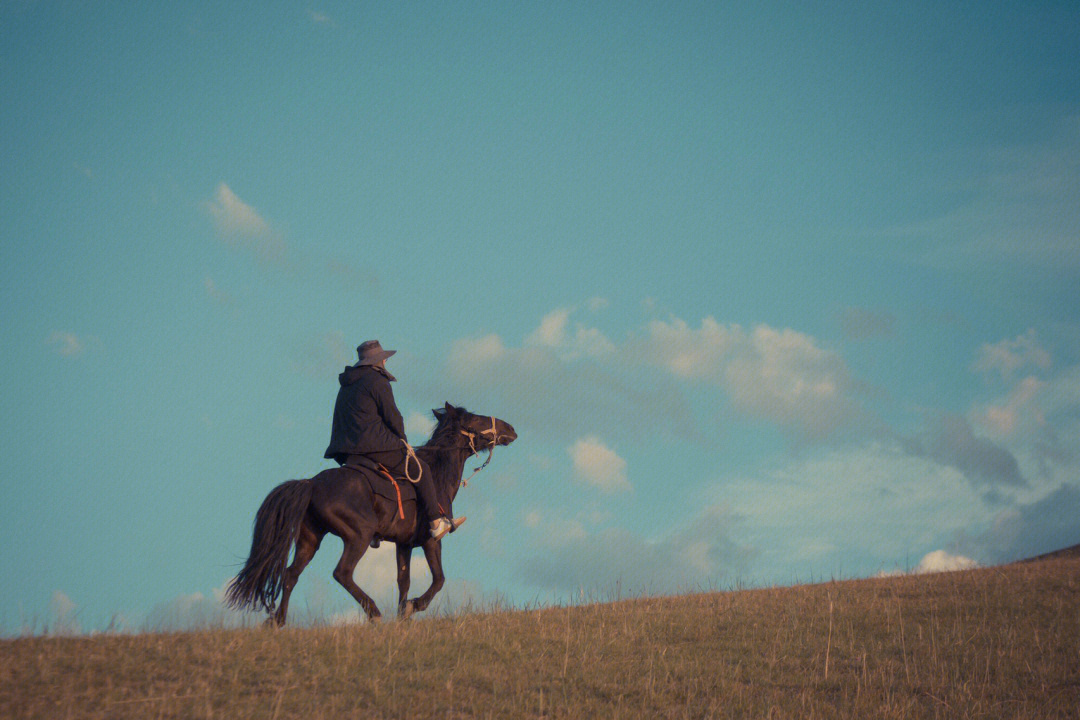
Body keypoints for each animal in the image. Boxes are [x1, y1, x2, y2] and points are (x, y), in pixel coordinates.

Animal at [225, 403, 516, 626]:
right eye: (476, 418)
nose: (510, 429)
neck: (436, 474)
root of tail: (312, 483)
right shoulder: (431, 541)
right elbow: (439, 579)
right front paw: (413, 607)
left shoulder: (404, 544)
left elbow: (403, 581)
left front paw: (402, 616)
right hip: (359, 536)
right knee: (342, 573)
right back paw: (373, 613)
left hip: (311, 539)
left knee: (290, 575)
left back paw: (278, 621)